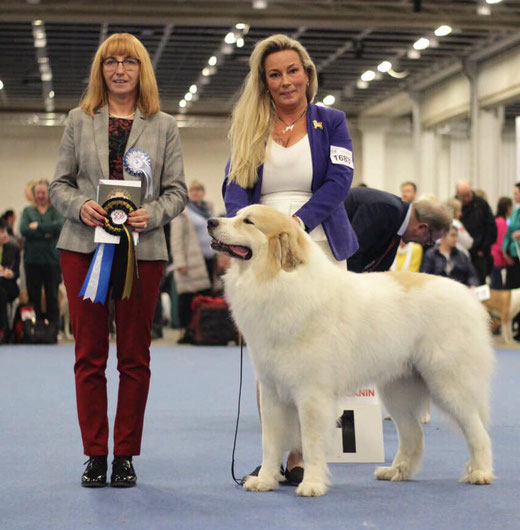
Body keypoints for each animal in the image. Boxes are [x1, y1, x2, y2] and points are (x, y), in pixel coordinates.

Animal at [208, 204, 496, 492]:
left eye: (248, 221)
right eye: (236, 214)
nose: (211, 222)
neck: (277, 279)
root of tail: (468, 297)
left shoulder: (312, 394)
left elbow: (310, 443)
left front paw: (311, 484)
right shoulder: (271, 391)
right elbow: (270, 442)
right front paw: (265, 480)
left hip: (448, 385)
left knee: (477, 431)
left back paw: (481, 472)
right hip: (398, 391)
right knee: (414, 434)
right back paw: (396, 471)